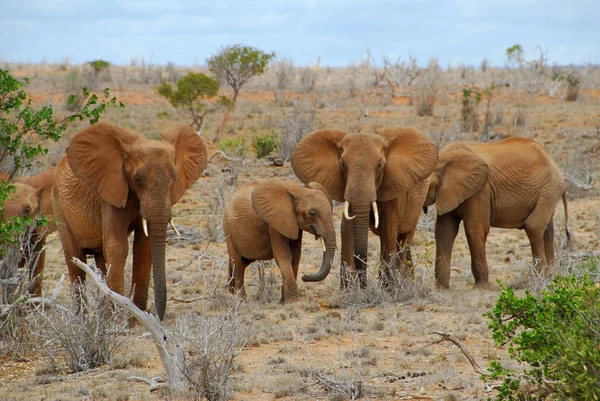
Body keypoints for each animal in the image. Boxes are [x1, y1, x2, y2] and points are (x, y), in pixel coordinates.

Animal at [54, 122, 209, 318]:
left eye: (174, 178)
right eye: (137, 179)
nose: (159, 316)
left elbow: (144, 248)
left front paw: (134, 319)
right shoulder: (110, 194)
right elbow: (118, 247)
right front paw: (120, 319)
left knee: (101, 259)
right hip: (60, 207)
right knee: (75, 264)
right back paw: (81, 319)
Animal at [290, 126, 436, 286]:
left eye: (379, 165)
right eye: (342, 164)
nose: (363, 281)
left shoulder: (395, 187)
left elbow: (389, 229)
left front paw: (388, 287)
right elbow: (347, 227)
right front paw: (350, 288)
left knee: (405, 237)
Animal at [422, 138, 572, 288]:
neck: (444, 157)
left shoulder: (481, 190)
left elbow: (475, 229)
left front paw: (481, 288)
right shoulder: (449, 192)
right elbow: (444, 230)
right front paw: (442, 289)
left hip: (549, 190)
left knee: (533, 227)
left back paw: (536, 282)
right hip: (548, 192)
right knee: (548, 231)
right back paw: (550, 280)